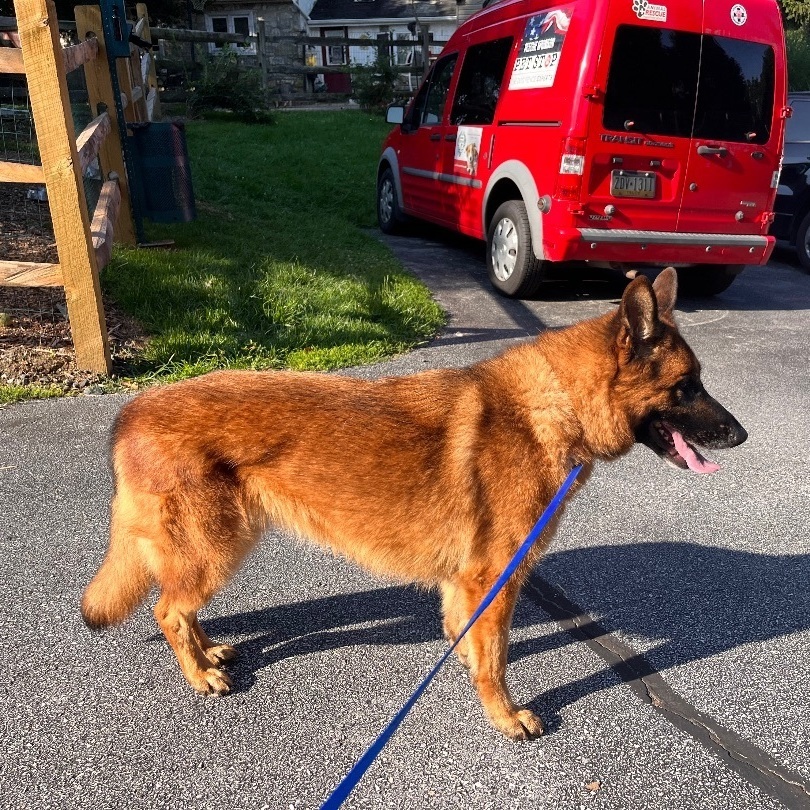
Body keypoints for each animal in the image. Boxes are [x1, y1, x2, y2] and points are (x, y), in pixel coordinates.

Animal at [82, 270, 744, 740]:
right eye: (686, 387)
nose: (741, 436)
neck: (555, 406)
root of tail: (130, 412)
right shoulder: (495, 577)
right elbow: (495, 658)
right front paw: (504, 716)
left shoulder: (469, 581)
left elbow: (468, 635)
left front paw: (465, 665)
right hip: (217, 546)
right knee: (168, 609)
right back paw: (199, 673)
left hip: (212, 547)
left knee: (181, 604)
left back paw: (208, 648)